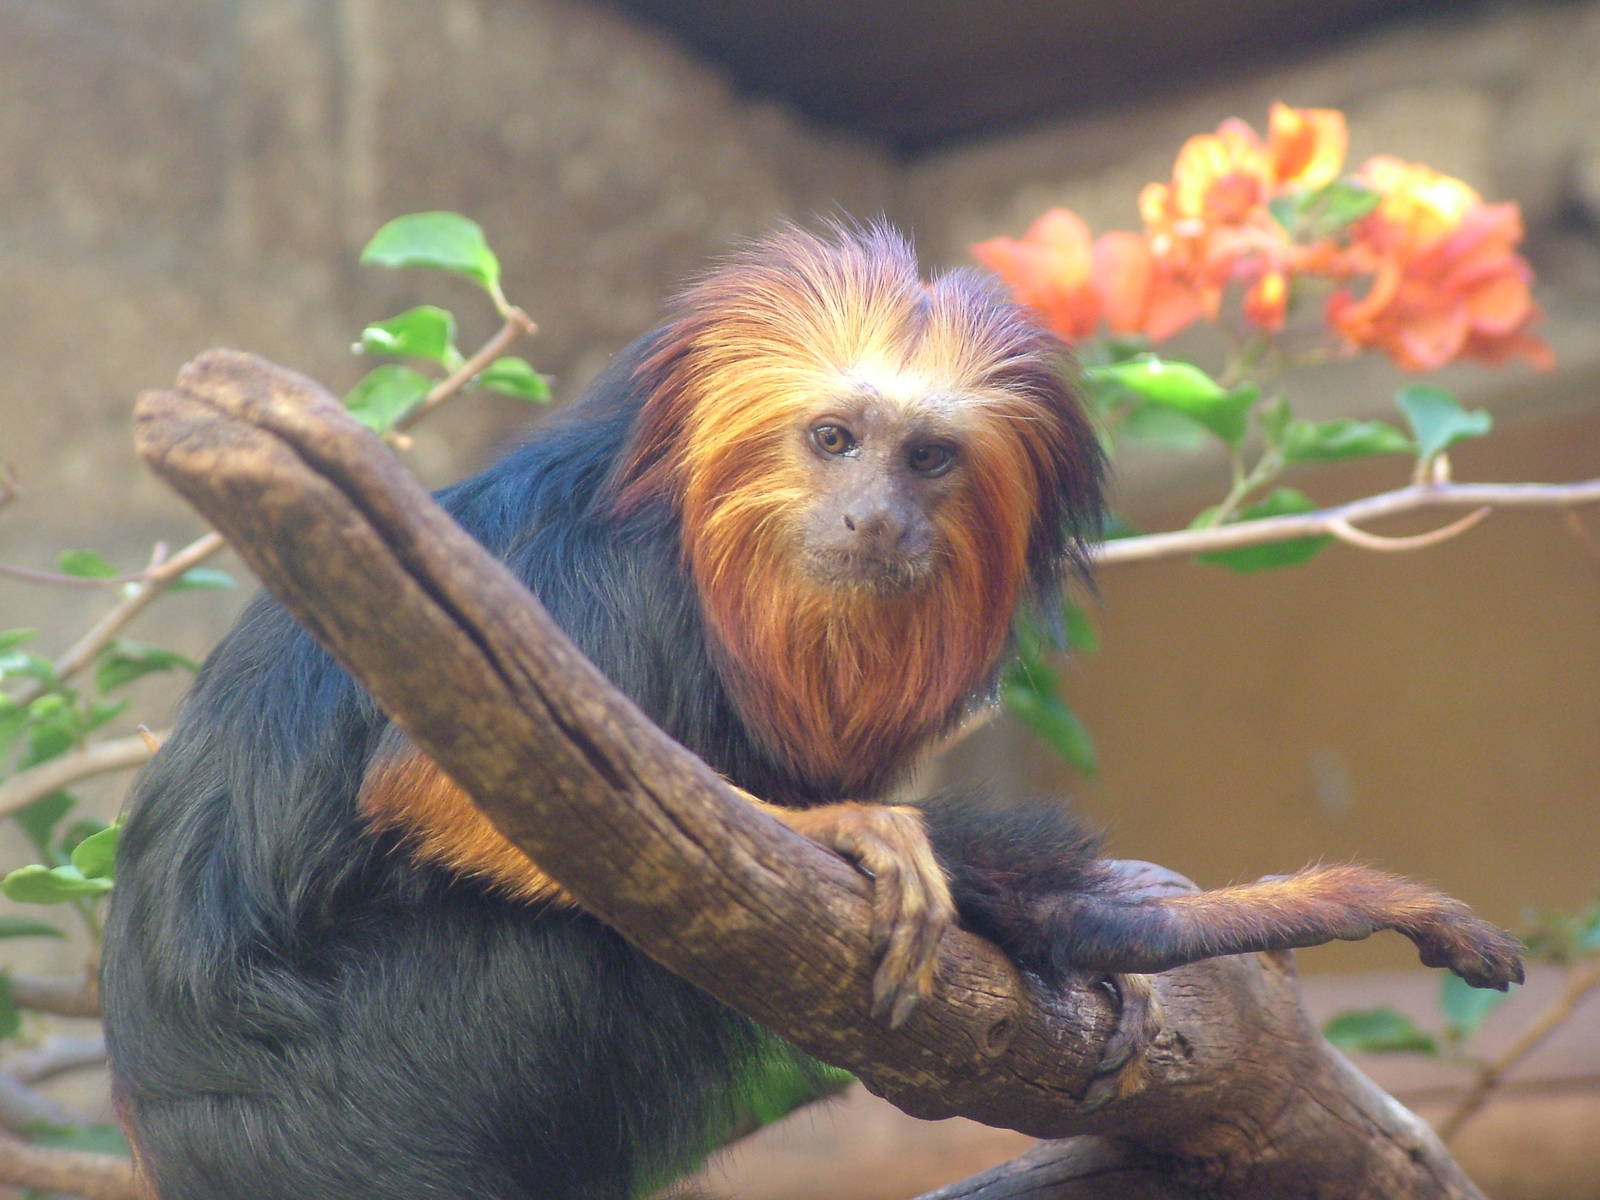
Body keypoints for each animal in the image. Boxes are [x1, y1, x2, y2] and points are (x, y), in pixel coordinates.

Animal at [102, 223, 1522, 1200]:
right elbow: (434, 778)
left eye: (929, 459)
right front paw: (853, 834)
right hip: (390, 1086)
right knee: (575, 930)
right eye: (834, 440)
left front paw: (1209, 919)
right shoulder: (606, 586)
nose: (875, 517)